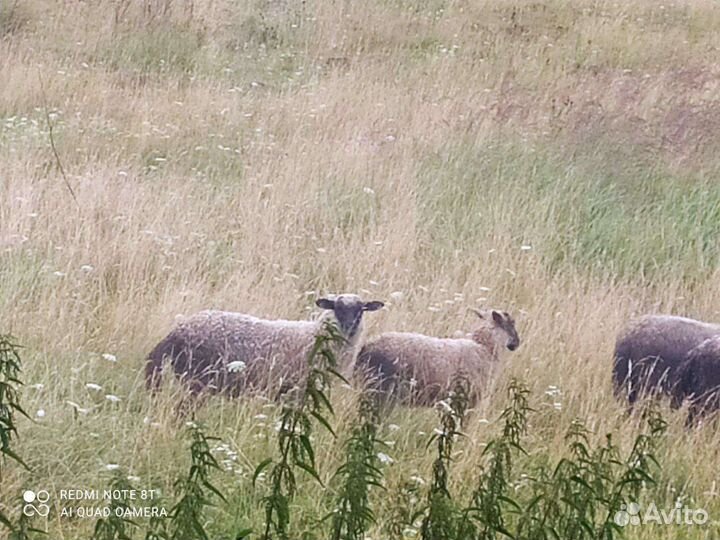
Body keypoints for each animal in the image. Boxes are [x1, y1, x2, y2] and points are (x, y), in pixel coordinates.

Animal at [355, 309, 520, 407]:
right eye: (511, 323)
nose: (517, 343)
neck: (484, 347)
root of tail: (366, 348)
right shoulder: (470, 399)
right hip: (381, 391)